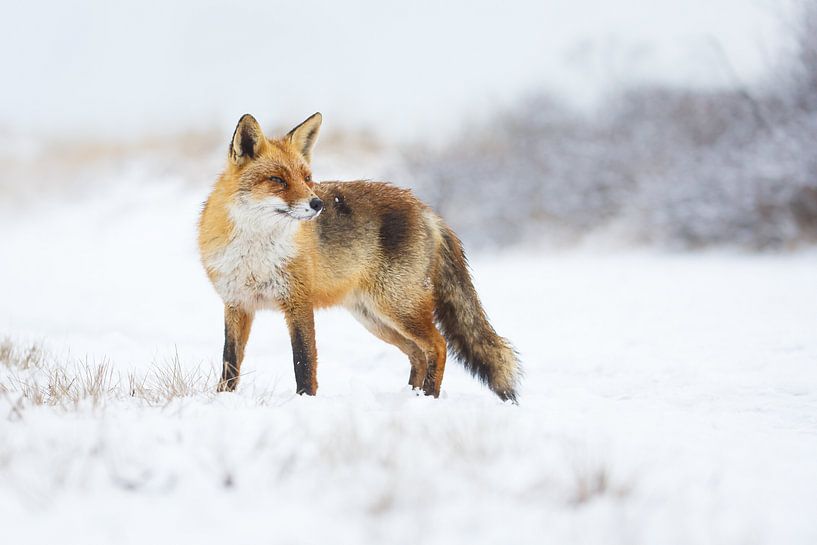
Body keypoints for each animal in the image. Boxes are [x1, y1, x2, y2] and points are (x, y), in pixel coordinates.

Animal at [198, 112, 520, 400]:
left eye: (306, 178)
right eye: (277, 179)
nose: (317, 204)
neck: (255, 255)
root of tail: (426, 209)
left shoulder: (298, 302)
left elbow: (303, 361)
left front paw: (305, 400)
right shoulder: (236, 303)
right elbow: (230, 361)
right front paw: (223, 399)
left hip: (398, 307)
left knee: (438, 346)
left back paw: (428, 397)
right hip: (375, 317)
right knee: (418, 354)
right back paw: (412, 395)